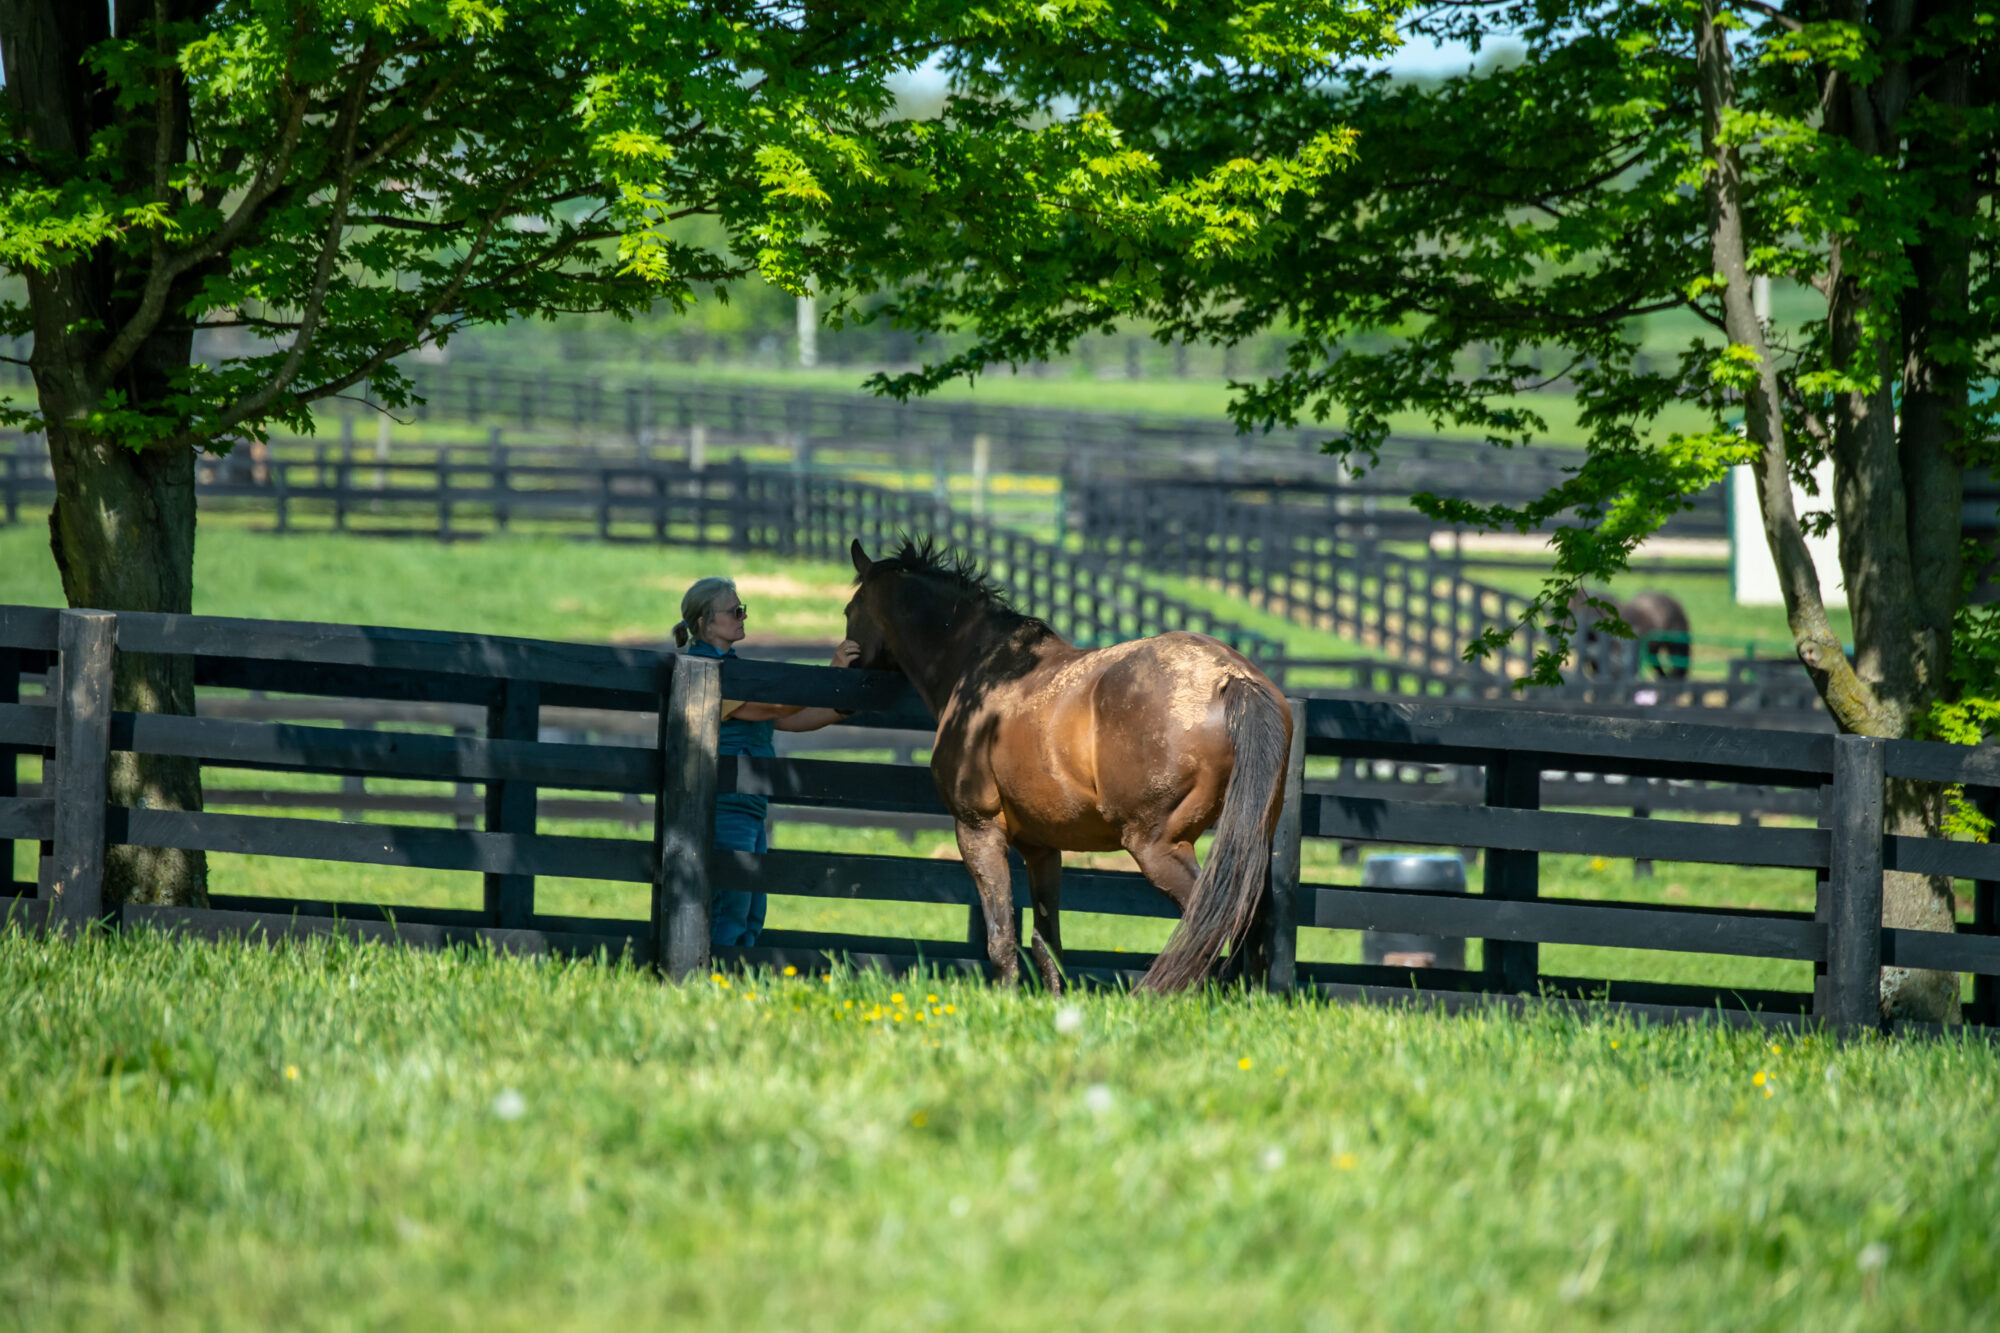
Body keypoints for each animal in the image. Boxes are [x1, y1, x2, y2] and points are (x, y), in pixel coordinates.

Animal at [844, 536, 1296, 992]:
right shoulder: (1042, 847)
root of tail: (1230, 678)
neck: (982, 667)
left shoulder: (978, 830)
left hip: (1157, 846)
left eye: (849, 611)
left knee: (1210, 922)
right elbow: (1047, 943)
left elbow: (1001, 938)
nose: (843, 662)